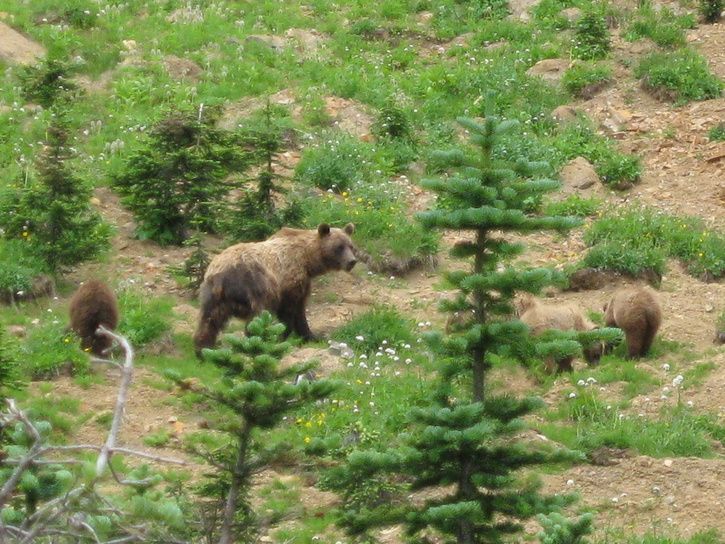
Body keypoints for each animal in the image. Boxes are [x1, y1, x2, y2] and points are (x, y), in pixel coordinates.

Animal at [193, 223, 357, 356]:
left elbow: (300, 312)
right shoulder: (289, 282)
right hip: (256, 284)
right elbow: (288, 312)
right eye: (339, 247)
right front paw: (282, 336)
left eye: (351, 246)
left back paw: (203, 349)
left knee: (209, 320)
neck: (308, 261)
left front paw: (311, 336)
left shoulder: (303, 283)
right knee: (257, 315)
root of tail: (223, 276)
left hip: (213, 294)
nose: (352, 261)